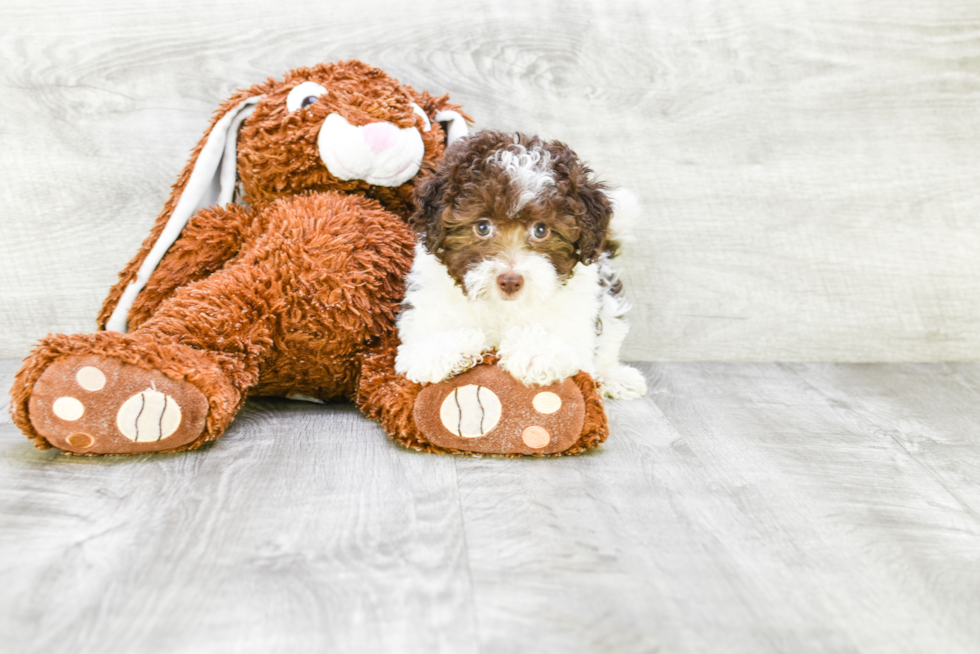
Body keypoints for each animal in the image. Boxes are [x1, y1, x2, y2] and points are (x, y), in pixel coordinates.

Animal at [394, 129, 648, 400]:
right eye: (482, 226)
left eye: (541, 230)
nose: (510, 281)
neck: (504, 308)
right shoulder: (427, 307)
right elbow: (422, 345)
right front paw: (444, 351)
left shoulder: (577, 319)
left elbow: (565, 344)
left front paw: (534, 353)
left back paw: (616, 377)